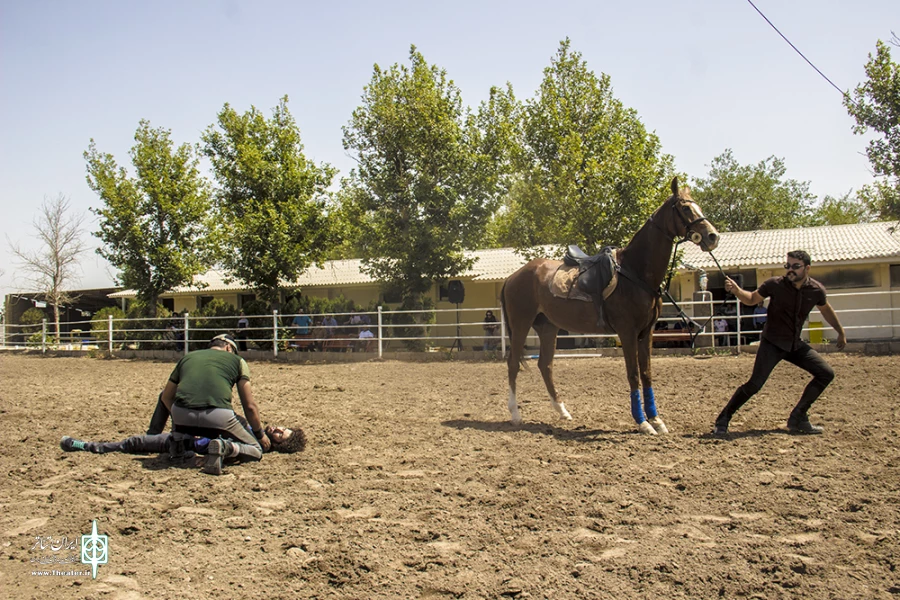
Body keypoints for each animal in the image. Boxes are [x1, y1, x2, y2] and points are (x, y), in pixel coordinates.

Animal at [500, 178, 716, 436]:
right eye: (684, 208)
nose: (712, 236)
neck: (635, 271)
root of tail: (512, 277)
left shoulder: (647, 333)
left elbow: (646, 374)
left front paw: (656, 420)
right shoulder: (627, 332)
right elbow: (633, 375)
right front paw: (643, 423)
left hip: (548, 327)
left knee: (545, 365)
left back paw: (562, 411)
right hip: (521, 324)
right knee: (513, 364)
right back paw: (515, 414)